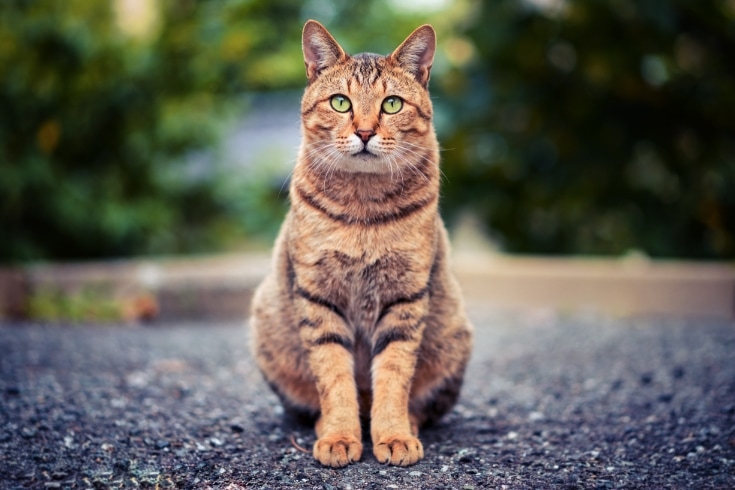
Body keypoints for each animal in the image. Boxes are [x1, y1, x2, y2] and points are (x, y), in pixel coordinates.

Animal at [250, 20, 474, 468]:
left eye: (392, 104)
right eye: (340, 103)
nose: (366, 132)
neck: (363, 209)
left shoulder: (405, 297)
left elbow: (393, 376)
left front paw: (394, 435)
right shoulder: (318, 297)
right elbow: (334, 377)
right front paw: (339, 435)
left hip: (454, 336)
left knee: (417, 403)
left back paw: (407, 424)